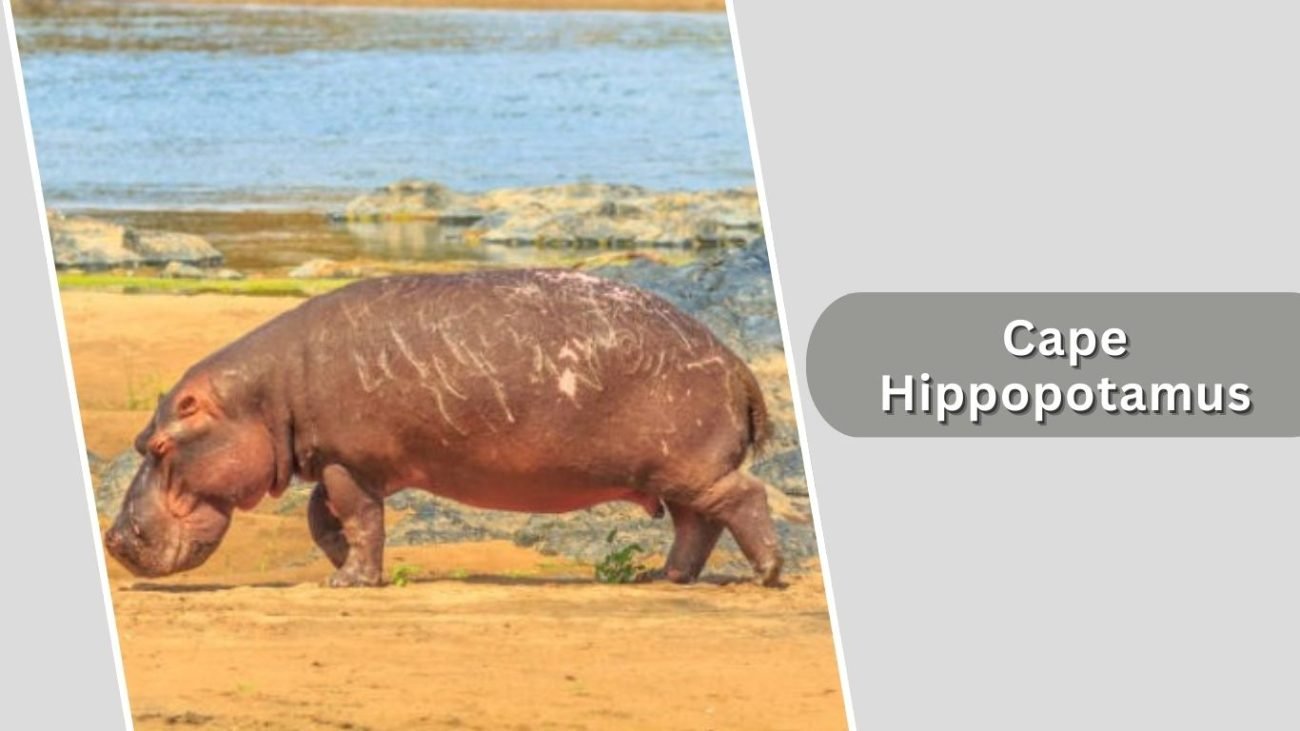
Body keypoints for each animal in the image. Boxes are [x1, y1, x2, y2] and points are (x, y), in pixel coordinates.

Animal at [103, 269, 784, 587]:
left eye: (158, 444)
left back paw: (768, 575)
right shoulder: (339, 460)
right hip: (675, 473)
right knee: (697, 524)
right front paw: (347, 568)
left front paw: (350, 581)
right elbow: (326, 519)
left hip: (689, 466)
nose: (112, 539)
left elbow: (355, 517)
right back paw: (663, 578)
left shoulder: (347, 463)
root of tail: (733, 360)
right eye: (139, 441)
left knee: (742, 499)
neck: (263, 397)